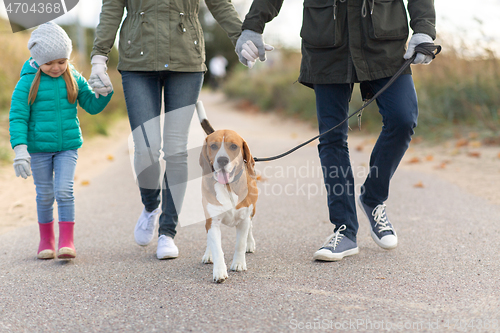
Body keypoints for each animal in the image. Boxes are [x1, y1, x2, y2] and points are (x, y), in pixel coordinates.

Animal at [196, 102, 258, 282]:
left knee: (251, 227)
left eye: (233, 146)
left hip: (253, 210)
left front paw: (238, 264)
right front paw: (219, 271)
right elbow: (217, 248)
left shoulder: (244, 219)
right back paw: (208, 254)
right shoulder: (213, 221)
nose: (222, 160)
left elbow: (240, 243)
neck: (228, 187)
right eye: (213, 146)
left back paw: (250, 243)